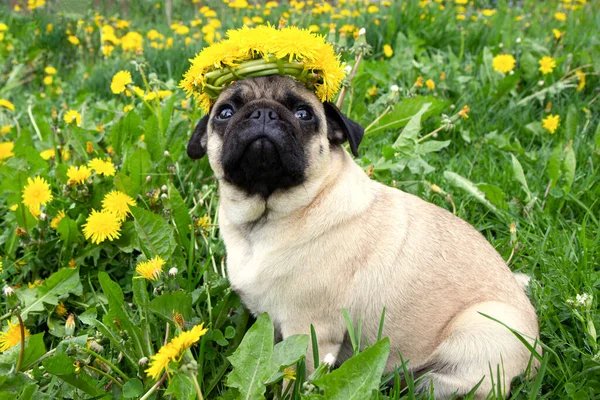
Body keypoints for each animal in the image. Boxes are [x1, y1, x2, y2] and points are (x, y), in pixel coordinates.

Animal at [186, 76, 540, 400]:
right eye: (225, 112)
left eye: (304, 114)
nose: (263, 113)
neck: (269, 219)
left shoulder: (310, 332)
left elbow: (293, 378)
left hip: (483, 327)